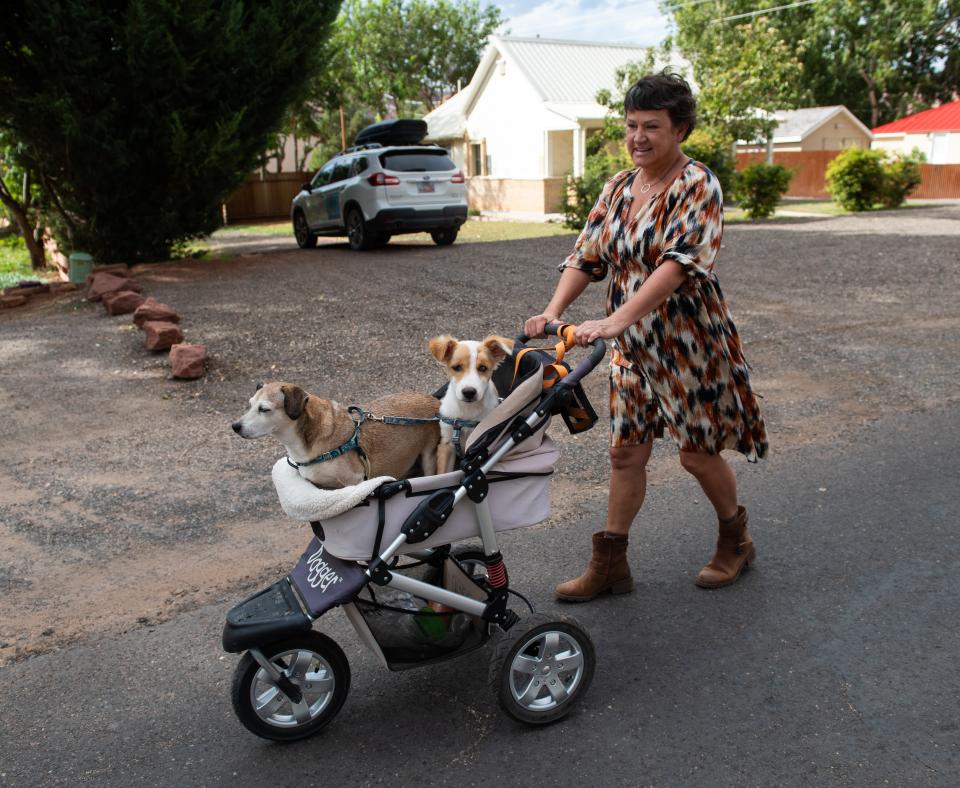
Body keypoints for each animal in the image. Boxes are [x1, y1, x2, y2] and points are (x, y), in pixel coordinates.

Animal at [231, 382, 440, 486]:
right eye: (250, 405)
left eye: (264, 409)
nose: (235, 426)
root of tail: (434, 401)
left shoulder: (355, 483)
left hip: (429, 458)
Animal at [430, 334, 512, 474]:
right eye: (457, 367)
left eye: (483, 368)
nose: (469, 392)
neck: (467, 411)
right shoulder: (446, 443)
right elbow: (442, 472)